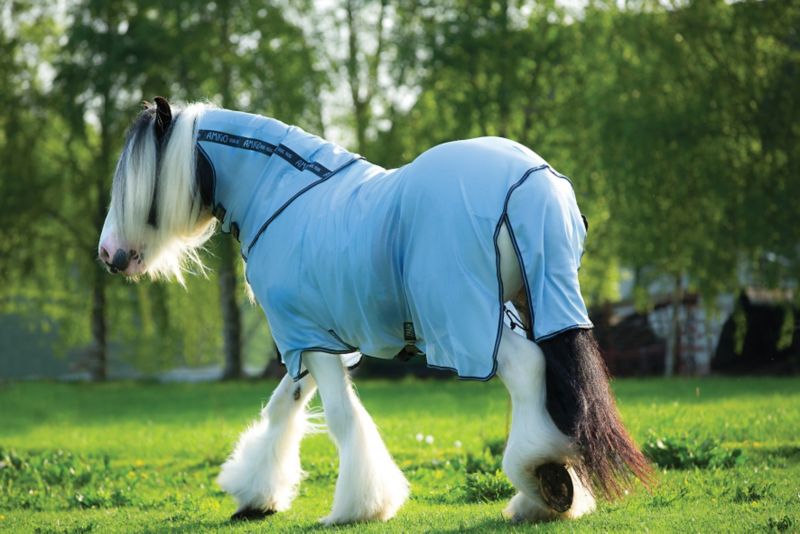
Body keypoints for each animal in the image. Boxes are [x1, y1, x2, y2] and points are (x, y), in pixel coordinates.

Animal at [98, 97, 651, 525]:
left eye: (141, 179)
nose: (109, 255)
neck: (280, 199)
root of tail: (532, 181)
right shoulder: (310, 340)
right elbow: (283, 409)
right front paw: (256, 495)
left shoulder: (309, 338)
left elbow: (342, 419)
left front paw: (360, 506)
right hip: (526, 305)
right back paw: (548, 493)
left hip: (470, 319)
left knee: (526, 370)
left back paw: (540, 479)